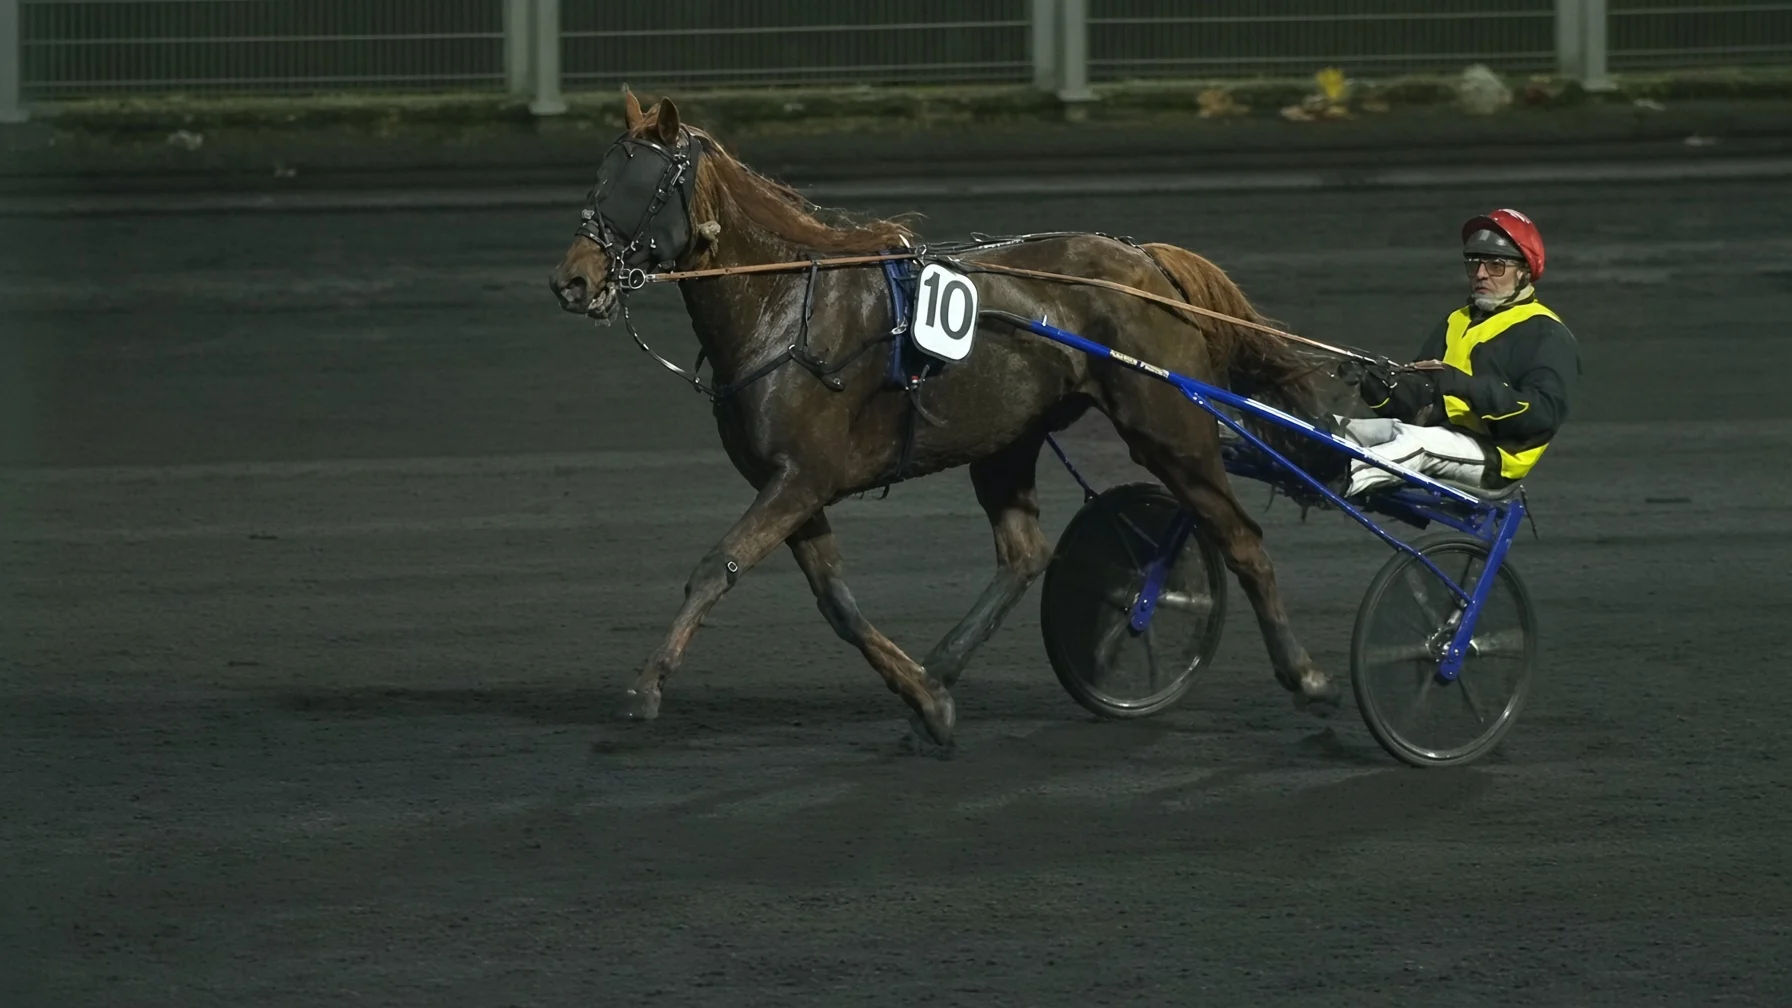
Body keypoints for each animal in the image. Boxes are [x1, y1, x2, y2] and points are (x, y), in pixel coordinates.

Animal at [549, 90, 1348, 753]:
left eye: (635, 185)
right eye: (596, 178)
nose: (571, 281)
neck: (787, 307)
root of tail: (1148, 263)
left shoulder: (801, 478)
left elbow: (716, 567)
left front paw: (644, 689)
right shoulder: (791, 487)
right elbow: (837, 603)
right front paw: (926, 702)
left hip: (1170, 427)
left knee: (1240, 539)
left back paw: (1308, 678)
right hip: (1008, 438)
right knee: (1024, 554)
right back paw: (942, 667)